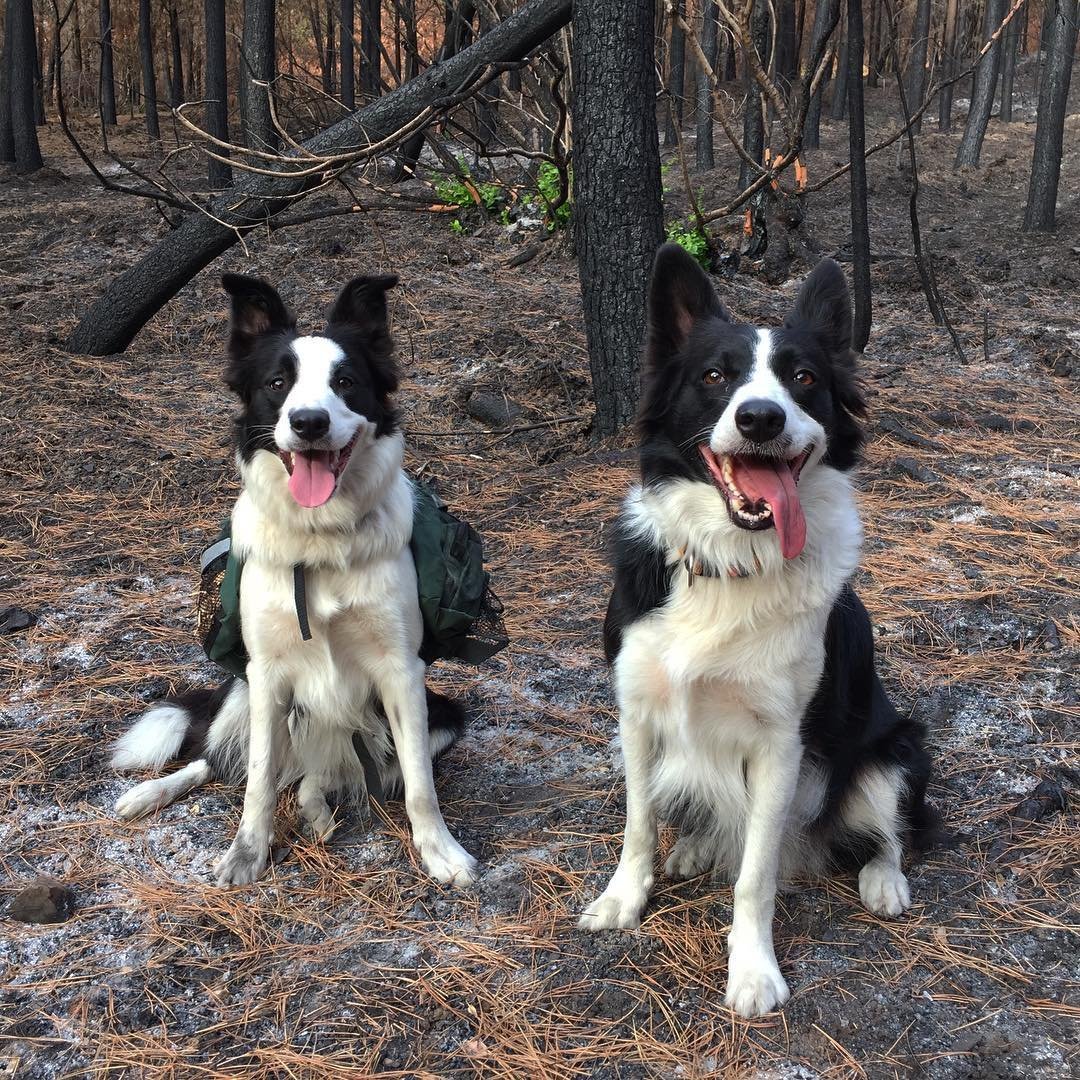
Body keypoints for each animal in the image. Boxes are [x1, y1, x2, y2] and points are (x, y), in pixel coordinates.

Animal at [110, 270, 477, 885]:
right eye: (278, 382)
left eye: (346, 382)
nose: (309, 423)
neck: (320, 537)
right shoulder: (267, 673)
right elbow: (257, 781)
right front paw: (246, 852)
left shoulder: (403, 672)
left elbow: (419, 786)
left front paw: (441, 852)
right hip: (240, 690)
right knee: (214, 758)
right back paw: (148, 794)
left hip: (441, 716)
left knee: (319, 774)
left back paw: (316, 809)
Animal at [578, 247, 933, 1019]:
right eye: (715, 376)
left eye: (804, 379)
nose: (761, 418)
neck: (732, 562)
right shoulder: (637, 713)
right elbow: (639, 824)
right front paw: (624, 899)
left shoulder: (780, 746)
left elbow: (755, 875)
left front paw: (752, 971)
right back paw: (695, 846)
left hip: (896, 748)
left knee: (891, 832)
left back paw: (884, 880)